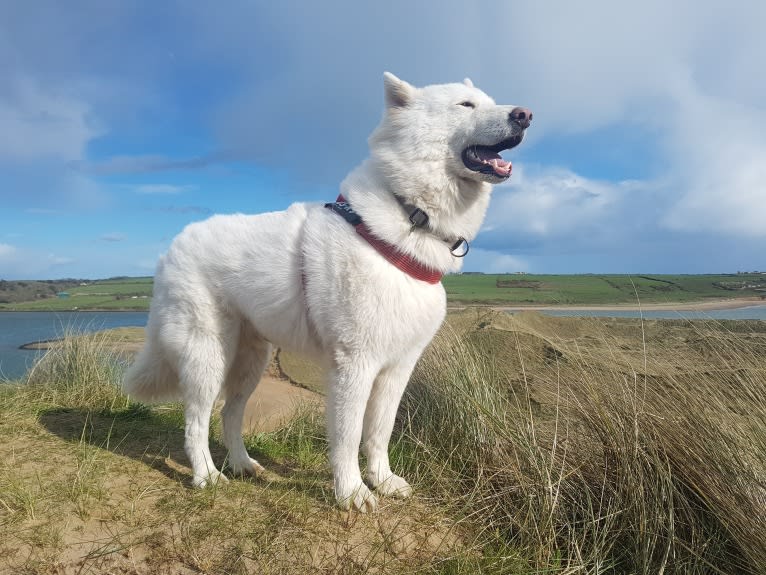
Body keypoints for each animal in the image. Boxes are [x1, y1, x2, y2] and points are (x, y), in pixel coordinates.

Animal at [124, 73, 536, 512]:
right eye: (465, 105)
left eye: (490, 101)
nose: (525, 115)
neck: (409, 218)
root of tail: (172, 248)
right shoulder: (354, 366)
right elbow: (348, 436)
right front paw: (351, 492)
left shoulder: (397, 369)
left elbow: (379, 431)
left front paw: (382, 480)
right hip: (208, 358)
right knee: (196, 423)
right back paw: (207, 476)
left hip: (251, 362)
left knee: (229, 416)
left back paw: (242, 465)